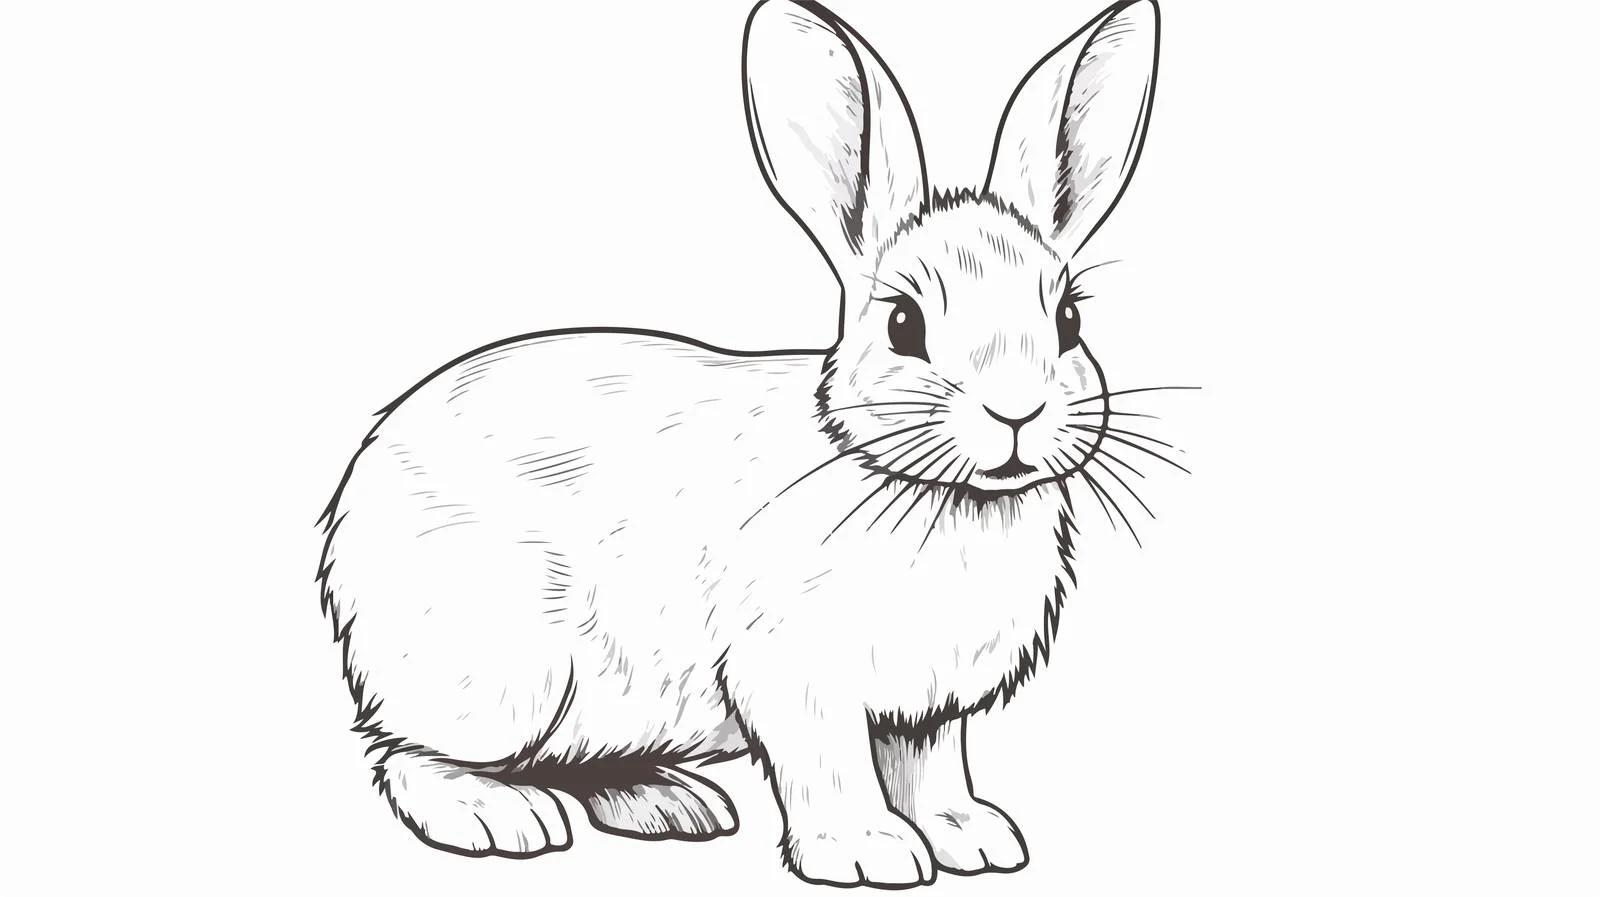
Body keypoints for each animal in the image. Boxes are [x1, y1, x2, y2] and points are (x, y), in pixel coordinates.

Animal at [317, 0, 1161, 887]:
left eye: (1069, 320)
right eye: (904, 324)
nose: (1017, 412)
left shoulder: (926, 708)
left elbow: (931, 769)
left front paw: (972, 837)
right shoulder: (797, 675)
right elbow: (830, 767)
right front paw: (869, 853)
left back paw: (668, 801)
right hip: (503, 676)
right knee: (409, 753)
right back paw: (502, 816)